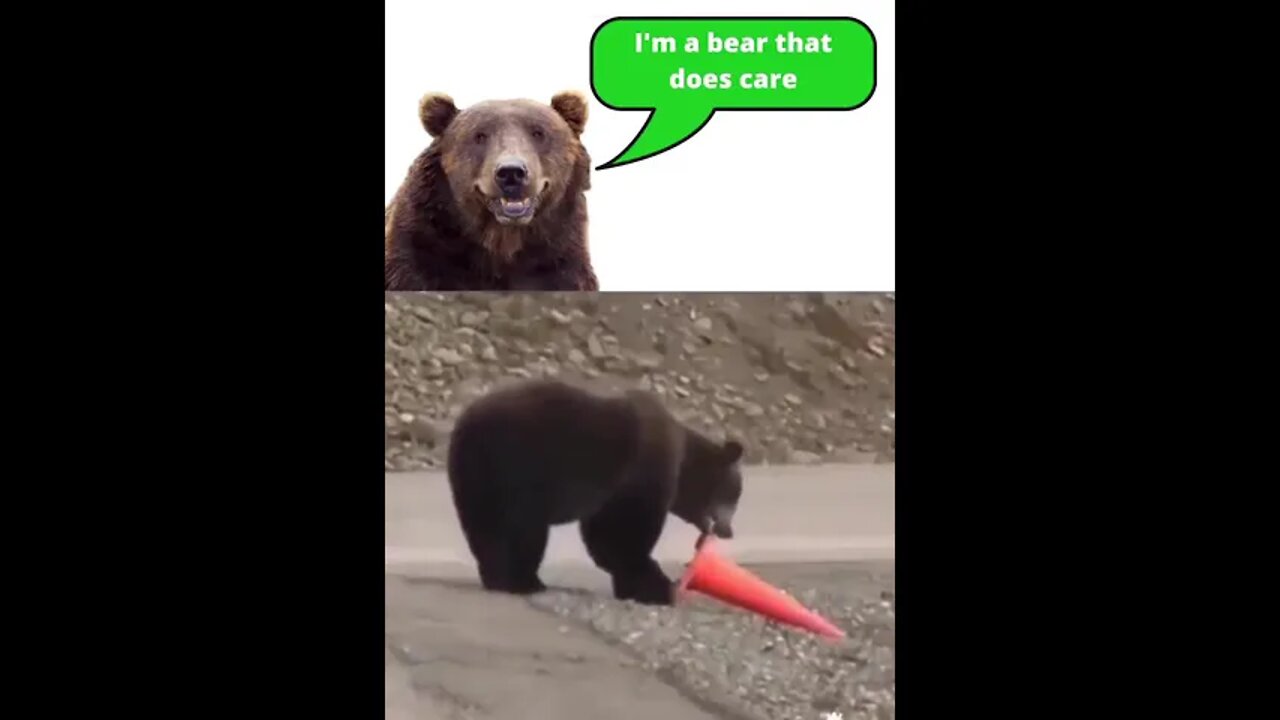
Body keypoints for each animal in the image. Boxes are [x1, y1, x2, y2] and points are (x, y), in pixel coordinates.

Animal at [445, 379, 745, 605]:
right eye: (735, 495)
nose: (728, 530)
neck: (683, 463)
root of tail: (469, 422)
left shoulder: (610, 489)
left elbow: (603, 535)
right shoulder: (639, 471)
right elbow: (626, 530)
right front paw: (656, 586)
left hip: (473, 473)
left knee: (484, 526)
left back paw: (500, 575)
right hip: (521, 465)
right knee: (524, 528)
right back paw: (523, 580)